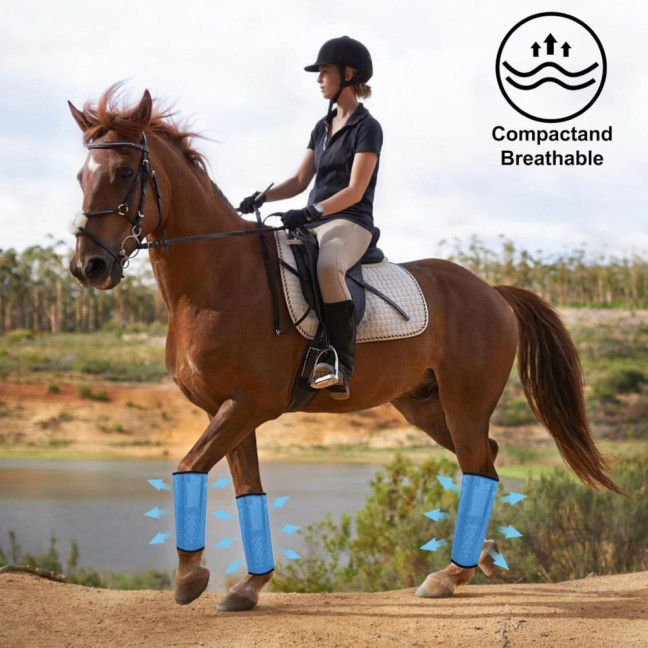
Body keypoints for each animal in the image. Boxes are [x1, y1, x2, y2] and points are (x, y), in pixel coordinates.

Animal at [68, 85, 622, 612]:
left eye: (124, 171)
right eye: (80, 176)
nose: (89, 266)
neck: (217, 279)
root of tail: (493, 291)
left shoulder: (248, 404)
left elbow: (187, 466)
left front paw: (190, 579)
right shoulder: (225, 410)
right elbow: (246, 488)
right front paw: (248, 587)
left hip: (464, 402)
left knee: (477, 462)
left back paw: (449, 575)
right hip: (423, 405)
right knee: (483, 457)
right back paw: (477, 560)